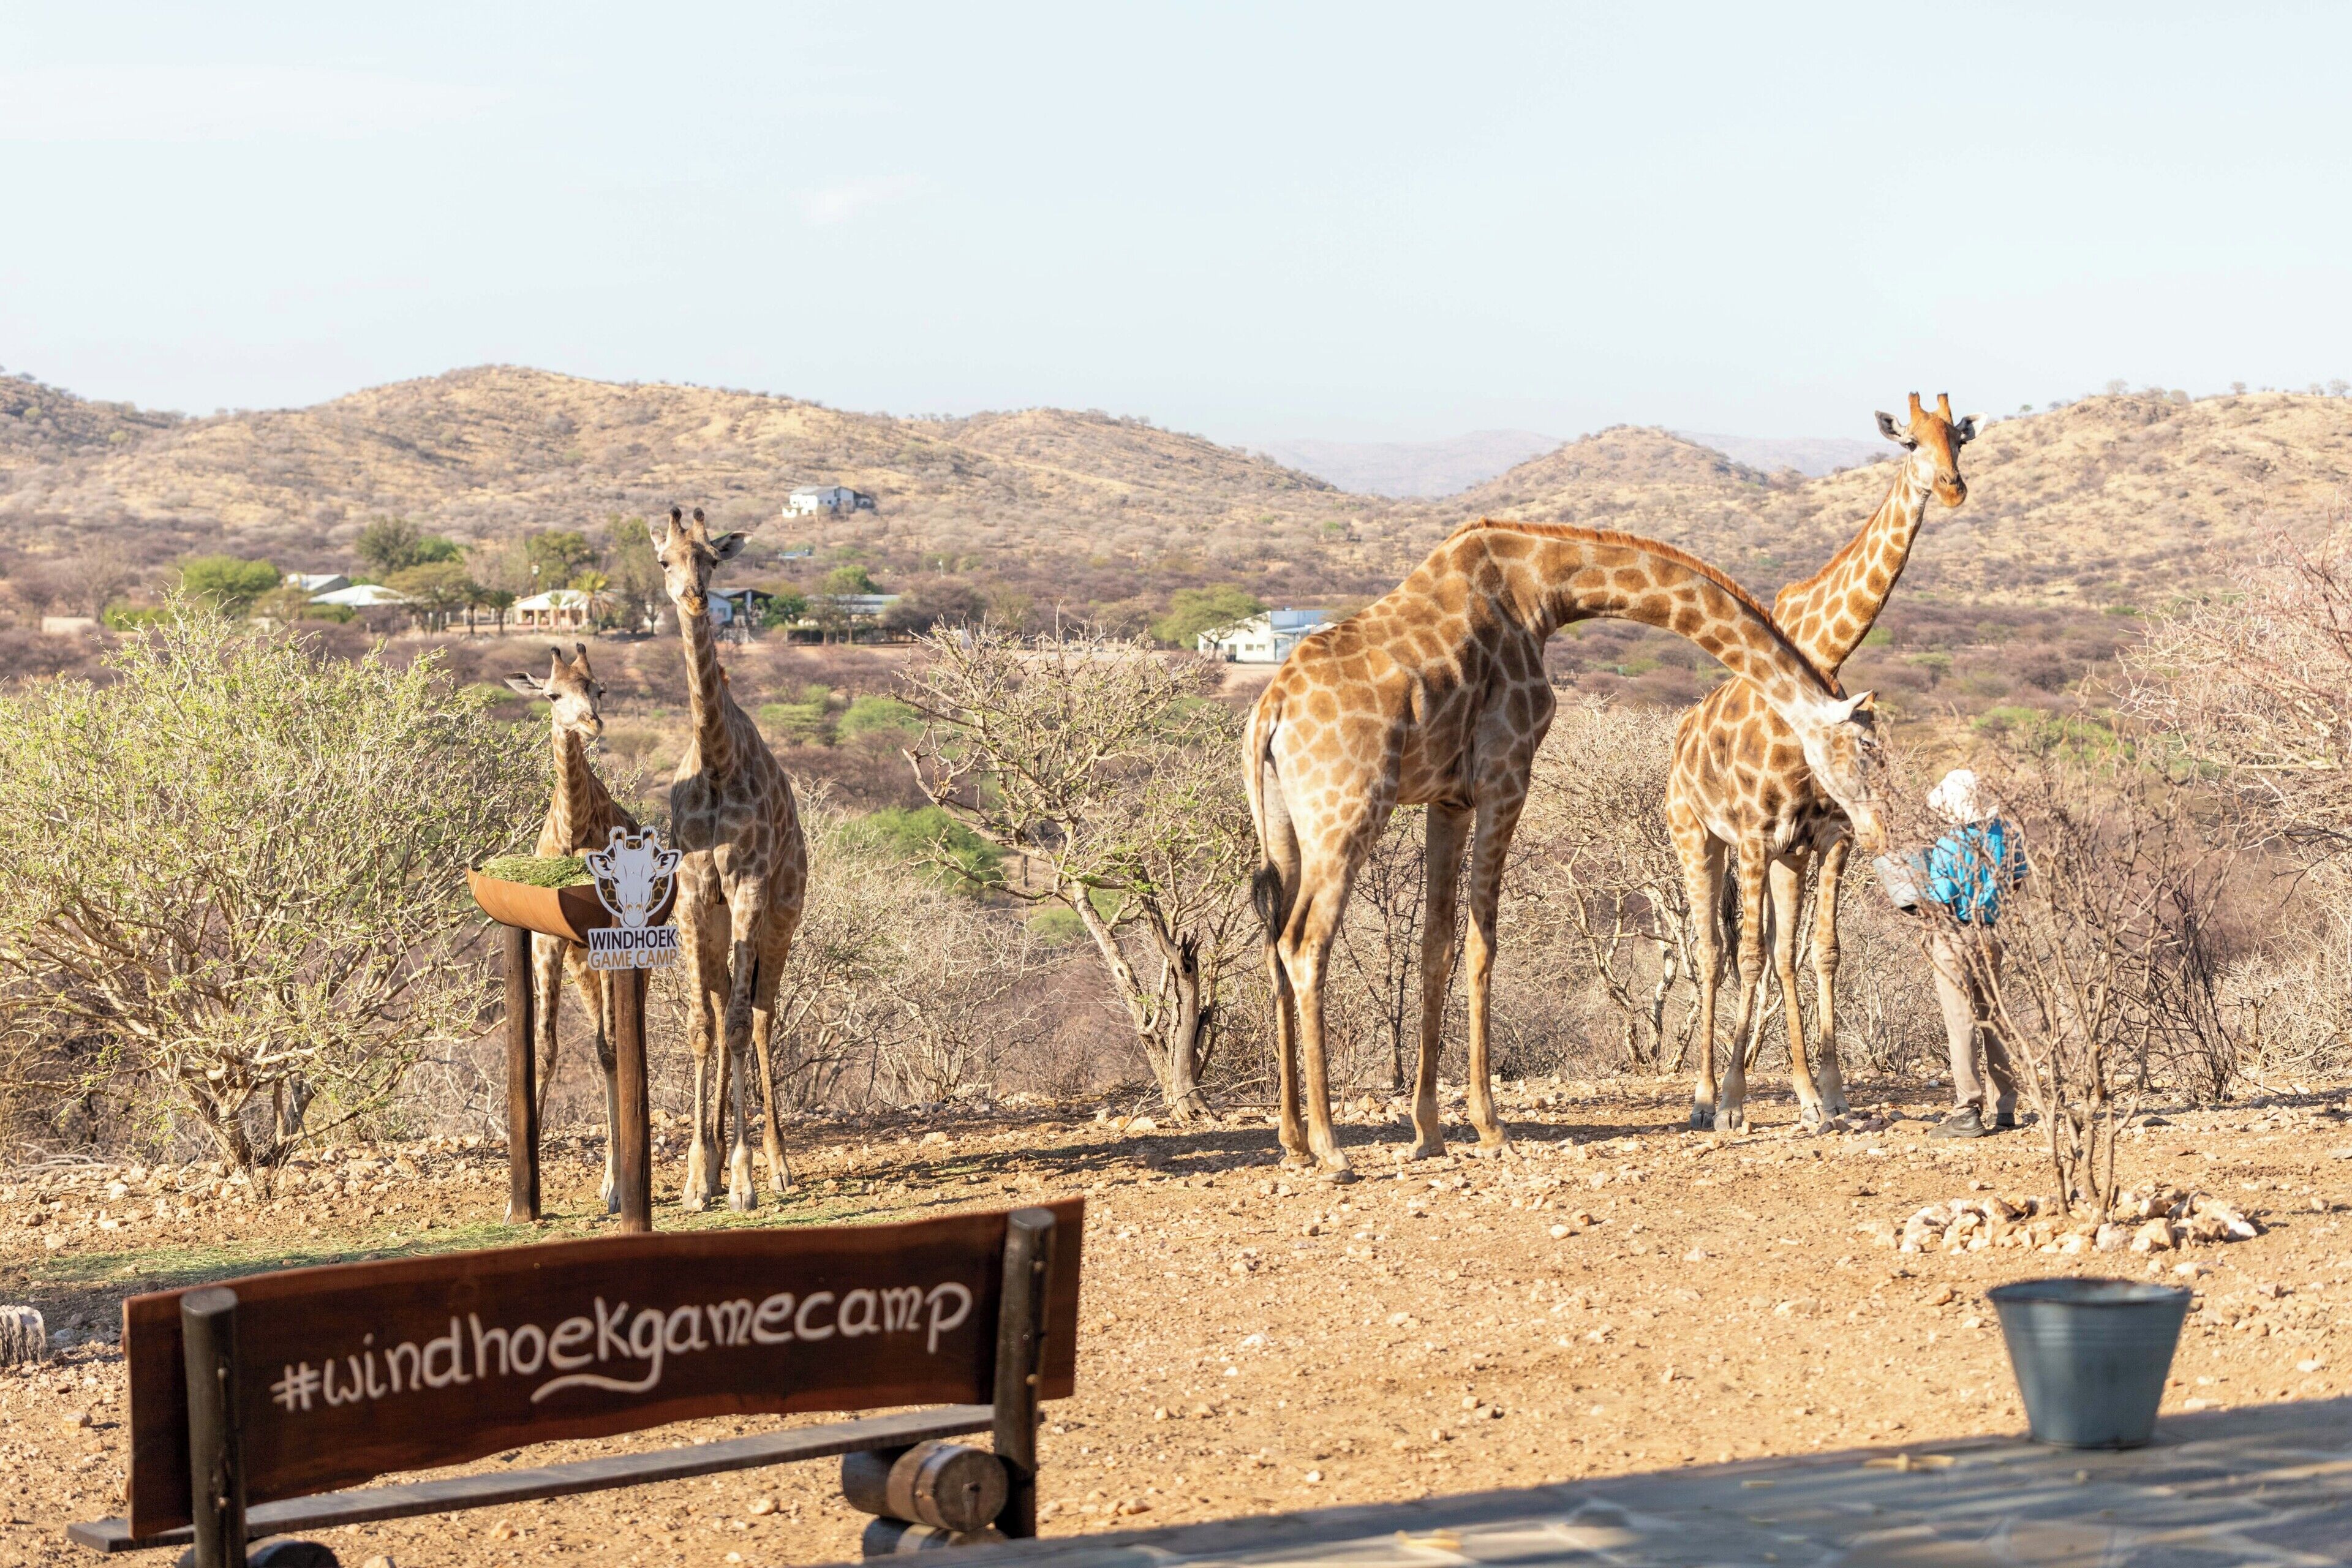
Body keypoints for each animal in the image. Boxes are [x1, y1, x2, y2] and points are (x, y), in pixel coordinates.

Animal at [1247, 519, 1887, 1180]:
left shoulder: (1448, 798)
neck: (1542, 590)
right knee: (1305, 943)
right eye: (1865, 748)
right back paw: (1331, 1147)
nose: (1866, 821)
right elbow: (1483, 943)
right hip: (1346, 813)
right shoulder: (1506, 774)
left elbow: (1437, 944)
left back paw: (1293, 1139)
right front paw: (1490, 1128)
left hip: (1285, 828)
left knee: (1273, 943)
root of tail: (1269, 714)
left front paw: (1429, 1133)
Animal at [1668, 393, 1979, 1133]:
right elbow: (1749, 955)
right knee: (1714, 953)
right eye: (1910, 443)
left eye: (1958, 439)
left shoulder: (1829, 836)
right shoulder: (1753, 836)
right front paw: (1732, 1103)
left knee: (1779, 953)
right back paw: (1704, 1098)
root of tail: (1679, 741)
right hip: (1696, 837)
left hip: (1784, 855)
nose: (1953, 488)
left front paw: (1831, 1095)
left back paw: (1796, 1092)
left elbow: (1821, 951)